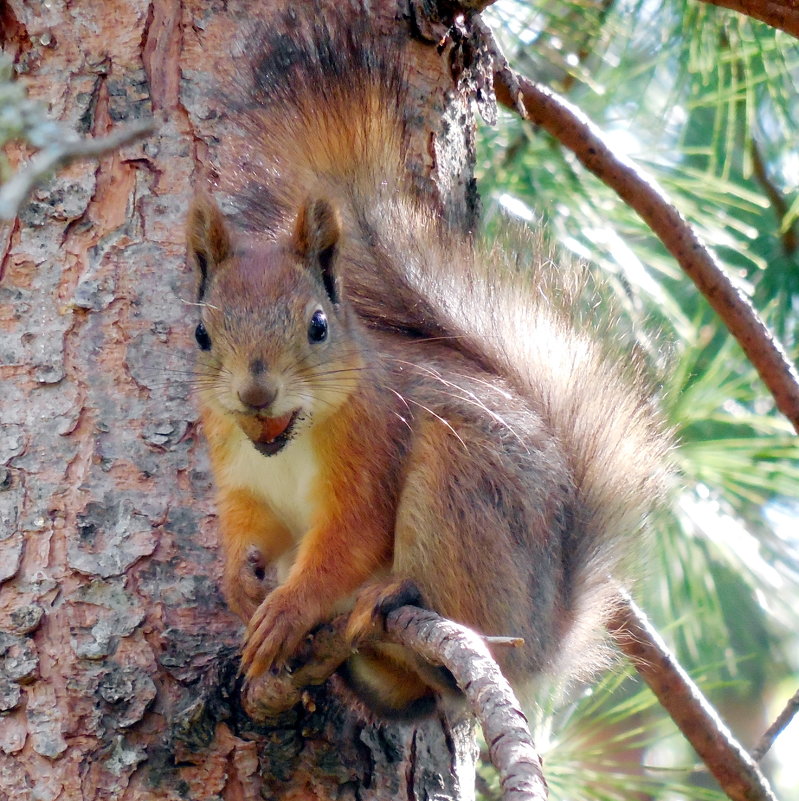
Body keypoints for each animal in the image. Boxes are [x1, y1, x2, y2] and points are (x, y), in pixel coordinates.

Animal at [184, 21, 672, 716]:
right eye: (202, 333)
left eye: (318, 325)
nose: (255, 393)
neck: (284, 445)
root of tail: (545, 636)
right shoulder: (240, 478)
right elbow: (250, 529)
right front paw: (238, 583)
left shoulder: (372, 454)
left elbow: (348, 543)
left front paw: (288, 609)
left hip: (462, 492)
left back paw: (397, 596)